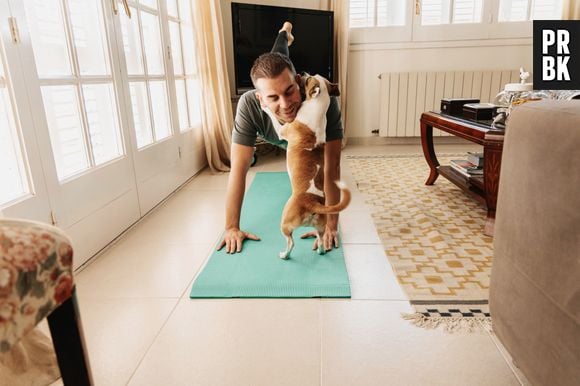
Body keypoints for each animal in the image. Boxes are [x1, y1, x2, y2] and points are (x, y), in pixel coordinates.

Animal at [274, 74, 352, 260]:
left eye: (308, 78)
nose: (301, 73)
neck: (318, 107)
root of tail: (312, 203)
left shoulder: (283, 130)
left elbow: (275, 121)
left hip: (285, 224)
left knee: (291, 243)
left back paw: (284, 255)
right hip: (320, 227)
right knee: (321, 239)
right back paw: (320, 250)